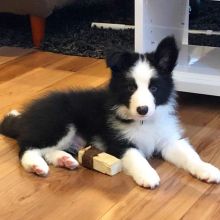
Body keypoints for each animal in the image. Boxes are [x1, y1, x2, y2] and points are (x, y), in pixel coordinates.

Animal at [0, 37, 220, 188]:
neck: (142, 122)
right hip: (58, 124)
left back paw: (65, 160)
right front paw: (148, 175)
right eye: (130, 88)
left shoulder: (169, 140)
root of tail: (27, 117)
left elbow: (189, 155)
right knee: (27, 147)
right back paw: (36, 166)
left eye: (154, 88)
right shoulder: (119, 142)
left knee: (46, 150)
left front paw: (207, 169)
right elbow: (136, 156)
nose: (142, 109)